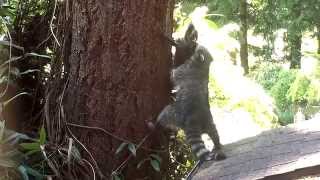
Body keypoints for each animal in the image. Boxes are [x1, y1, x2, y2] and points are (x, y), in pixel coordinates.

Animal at [158, 23, 225, 160]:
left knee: (164, 114)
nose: (191, 26)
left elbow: (173, 73)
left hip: (176, 113)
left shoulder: (185, 70)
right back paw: (217, 144)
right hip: (209, 123)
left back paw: (153, 124)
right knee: (214, 133)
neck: (204, 64)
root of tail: (194, 120)